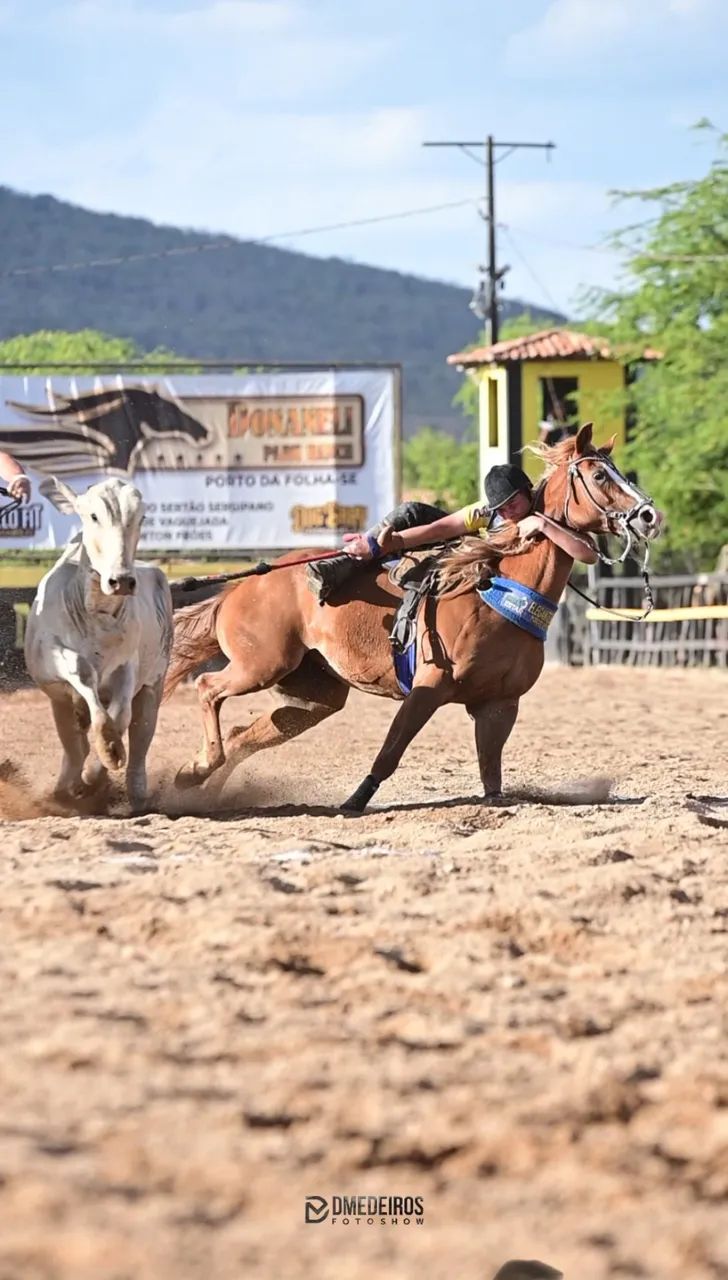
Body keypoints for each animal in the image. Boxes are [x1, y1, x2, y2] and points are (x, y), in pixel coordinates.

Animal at [25, 475, 173, 808]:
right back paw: (65, 788)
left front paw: (106, 757)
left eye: (141, 517)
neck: (96, 613)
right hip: (59, 701)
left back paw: (132, 792)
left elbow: (120, 715)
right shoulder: (52, 655)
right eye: (93, 516)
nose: (122, 581)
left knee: (140, 735)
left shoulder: (129, 665)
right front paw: (102, 752)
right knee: (73, 744)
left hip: (154, 686)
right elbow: (81, 671)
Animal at [165, 425, 662, 811]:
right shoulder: (427, 688)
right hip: (261, 664)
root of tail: (238, 589)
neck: (497, 589)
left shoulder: (500, 704)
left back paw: (198, 782)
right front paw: (354, 802)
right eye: (599, 474)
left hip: (312, 694)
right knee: (208, 688)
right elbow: (390, 751)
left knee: (246, 734)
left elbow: (491, 775)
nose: (649, 516)